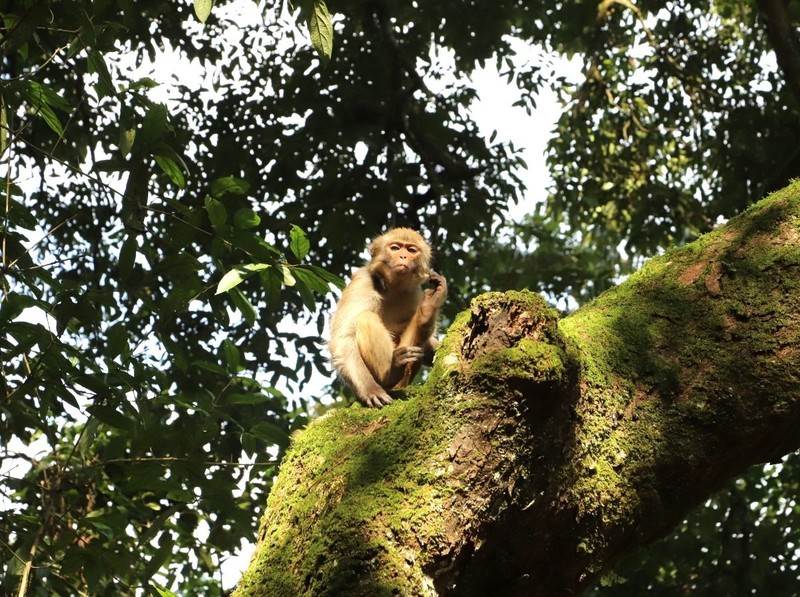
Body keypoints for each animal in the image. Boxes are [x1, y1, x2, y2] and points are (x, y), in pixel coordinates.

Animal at [328, 227, 446, 406]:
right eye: (395, 248)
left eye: (411, 250)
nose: (403, 256)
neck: (392, 288)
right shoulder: (362, 282)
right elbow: (344, 338)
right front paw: (370, 389)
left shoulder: (416, 293)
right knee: (366, 318)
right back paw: (391, 373)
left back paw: (426, 311)